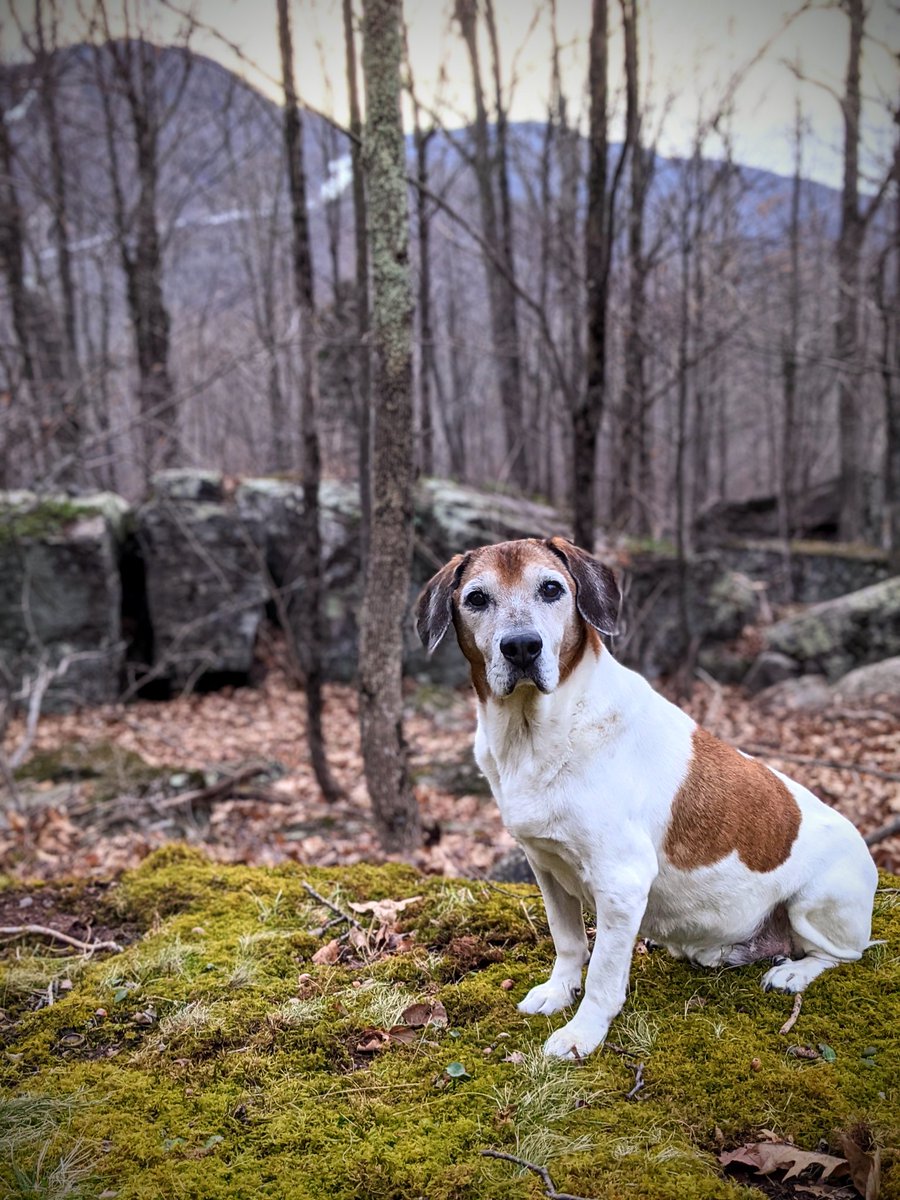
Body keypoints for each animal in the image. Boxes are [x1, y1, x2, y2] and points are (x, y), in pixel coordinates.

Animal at [415, 537, 878, 1059]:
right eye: (476, 598)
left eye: (551, 588)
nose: (521, 646)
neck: (539, 732)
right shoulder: (546, 868)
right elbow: (569, 943)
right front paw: (559, 992)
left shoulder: (622, 882)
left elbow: (602, 975)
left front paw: (582, 1033)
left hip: (813, 904)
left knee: (840, 954)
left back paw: (794, 973)